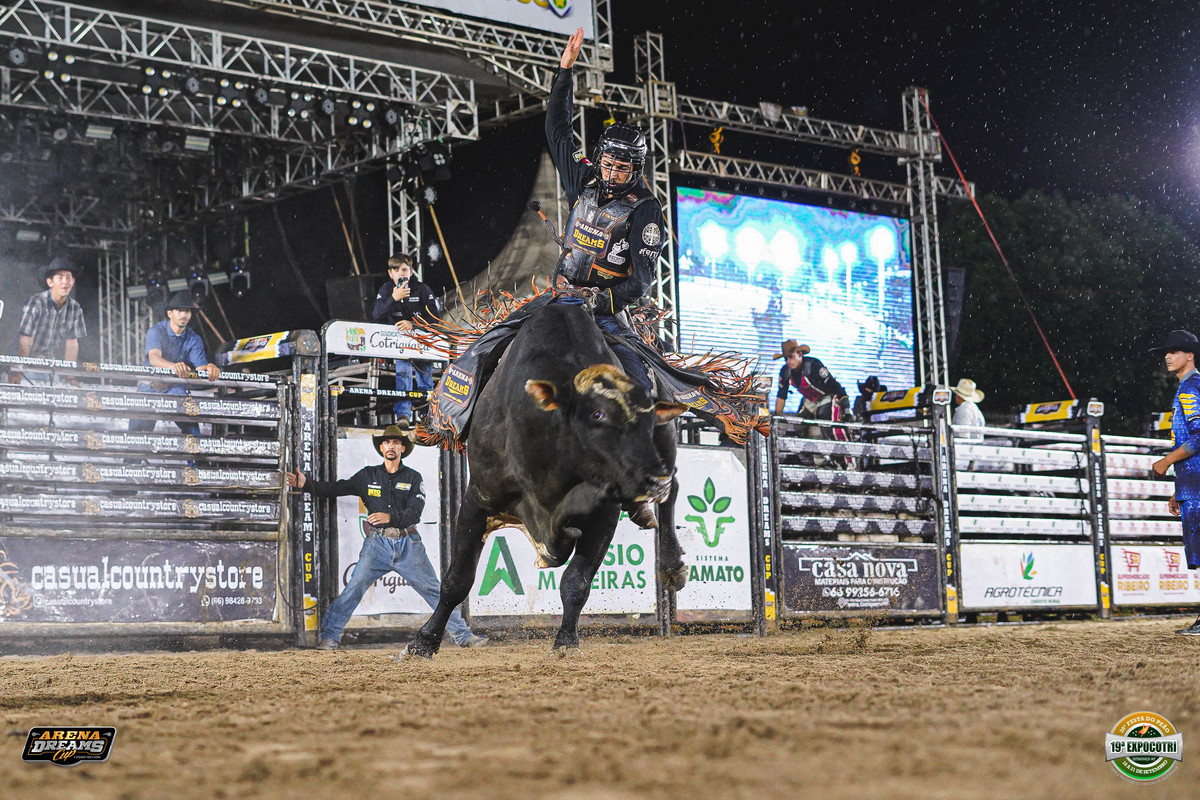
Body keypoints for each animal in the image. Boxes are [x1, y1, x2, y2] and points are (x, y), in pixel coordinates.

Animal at [403, 300, 687, 659]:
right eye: (597, 416)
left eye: (648, 420)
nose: (651, 479)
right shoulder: (478, 498)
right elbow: (457, 580)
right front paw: (423, 642)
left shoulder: (604, 511)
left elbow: (576, 581)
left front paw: (565, 641)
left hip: (666, 446)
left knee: (673, 489)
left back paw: (671, 565)